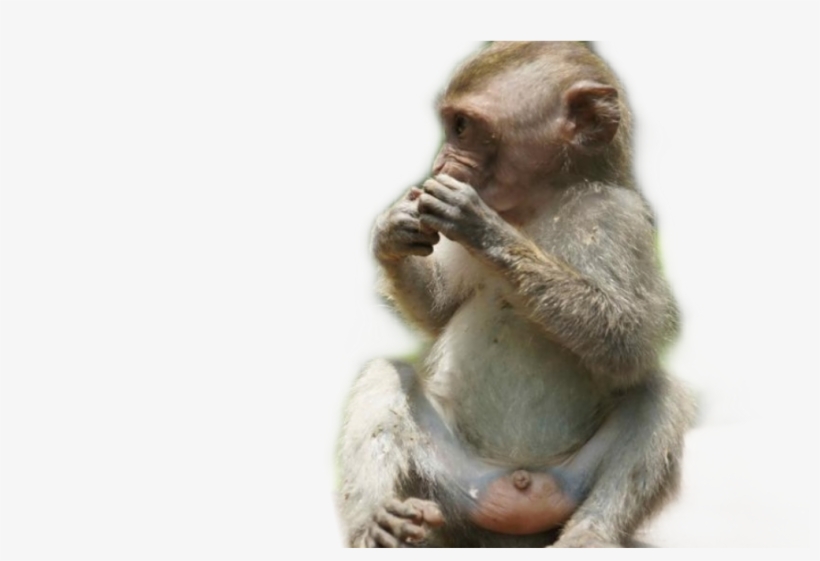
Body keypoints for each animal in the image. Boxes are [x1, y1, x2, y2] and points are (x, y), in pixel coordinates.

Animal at [337, 42, 694, 548]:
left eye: (463, 127)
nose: (439, 165)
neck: (538, 202)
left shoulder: (616, 217)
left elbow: (630, 340)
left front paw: (482, 227)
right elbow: (439, 311)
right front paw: (392, 231)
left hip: (566, 484)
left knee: (660, 392)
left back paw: (590, 535)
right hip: (452, 489)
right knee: (384, 374)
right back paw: (379, 521)